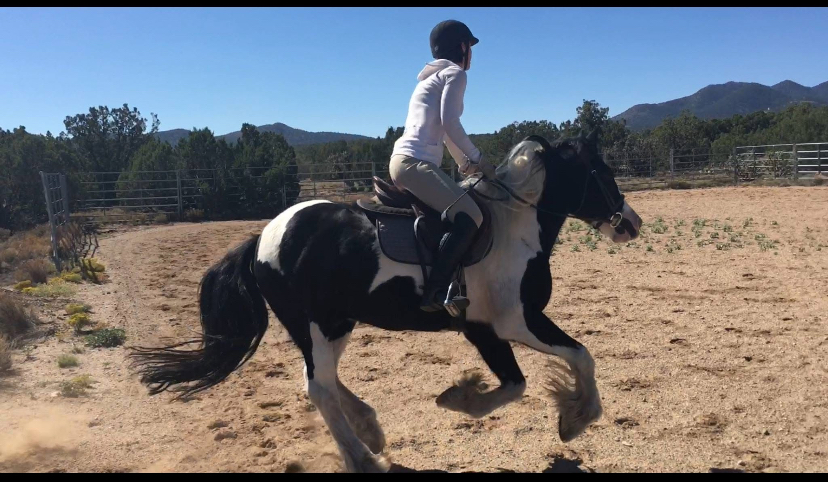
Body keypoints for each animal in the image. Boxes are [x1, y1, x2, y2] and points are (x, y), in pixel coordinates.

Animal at [130, 130, 643, 473]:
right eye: (602, 172)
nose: (631, 223)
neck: (515, 228)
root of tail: (263, 238)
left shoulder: (490, 328)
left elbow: (547, 370)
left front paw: (564, 416)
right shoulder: (511, 323)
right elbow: (559, 366)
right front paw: (569, 416)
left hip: (334, 324)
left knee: (320, 381)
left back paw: (370, 430)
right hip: (316, 325)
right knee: (319, 387)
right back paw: (363, 458)